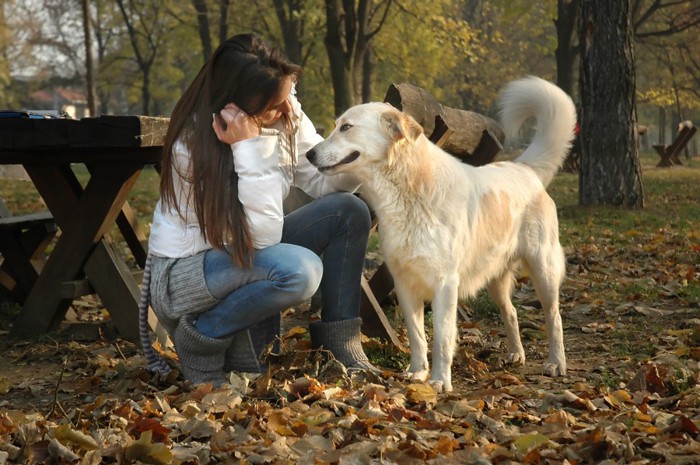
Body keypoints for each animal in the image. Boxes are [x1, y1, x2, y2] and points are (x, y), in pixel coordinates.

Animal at [306, 77, 576, 392]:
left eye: (347, 127)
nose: (309, 154)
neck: (407, 190)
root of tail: (523, 169)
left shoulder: (445, 285)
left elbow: (442, 337)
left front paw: (439, 379)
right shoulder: (404, 285)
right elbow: (417, 337)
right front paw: (417, 372)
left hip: (543, 270)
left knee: (554, 317)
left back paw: (556, 363)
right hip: (495, 278)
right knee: (511, 312)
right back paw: (515, 354)